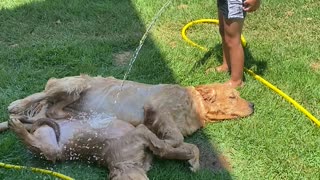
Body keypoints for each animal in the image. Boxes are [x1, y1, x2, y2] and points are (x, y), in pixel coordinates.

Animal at [2, 74, 252, 146]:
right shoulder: (158, 107)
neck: (195, 104)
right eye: (233, 96)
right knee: (41, 95)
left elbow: (173, 135)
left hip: (65, 104)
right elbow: (178, 138)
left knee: (51, 111)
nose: (254, 105)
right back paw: (17, 105)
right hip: (74, 84)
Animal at [8, 114, 199, 179]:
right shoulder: (140, 133)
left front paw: (192, 159)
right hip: (50, 148)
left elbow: (181, 146)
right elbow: (168, 144)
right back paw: (16, 126)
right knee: (31, 140)